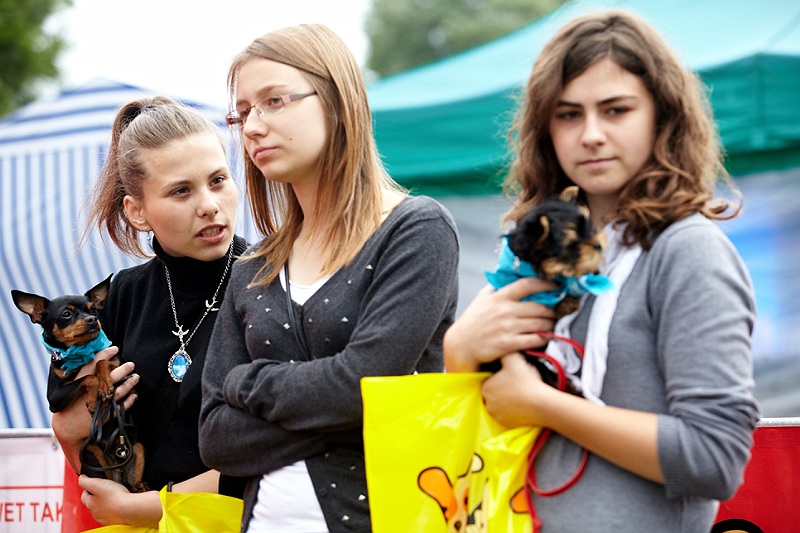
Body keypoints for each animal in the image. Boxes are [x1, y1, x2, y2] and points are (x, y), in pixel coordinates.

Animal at [11, 275, 147, 493]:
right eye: (66, 314)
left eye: (93, 310)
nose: (93, 319)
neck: (82, 353)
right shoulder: (54, 399)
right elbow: (87, 377)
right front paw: (95, 397)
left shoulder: (130, 379)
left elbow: (101, 362)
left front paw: (105, 383)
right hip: (92, 453)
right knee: (105, 479)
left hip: (137, 448)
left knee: (133, 480)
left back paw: (140, 487)